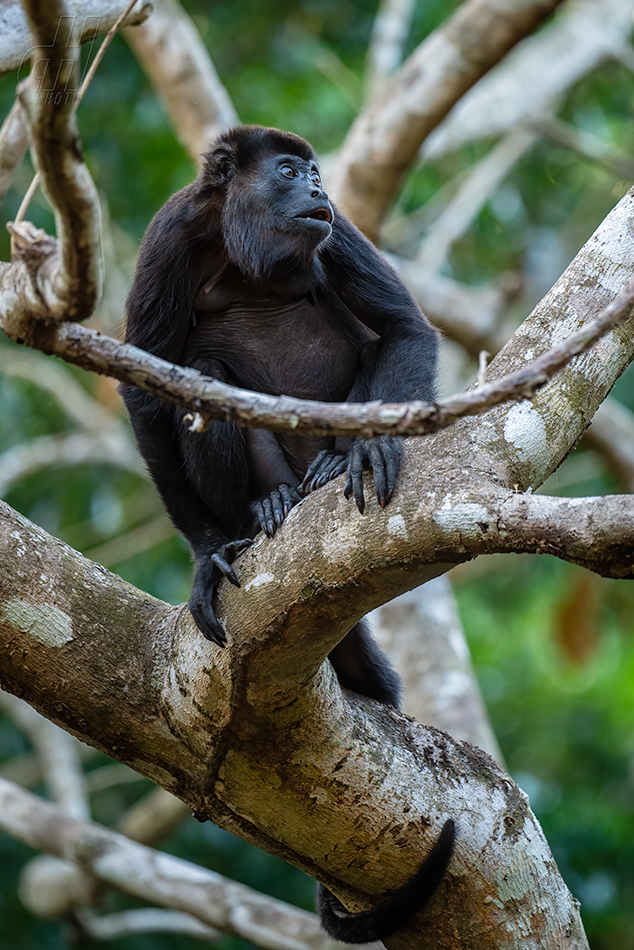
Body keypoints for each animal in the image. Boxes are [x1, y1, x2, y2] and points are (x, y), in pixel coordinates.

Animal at [121, 124, 452, 944]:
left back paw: (335, 460)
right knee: (203, 375)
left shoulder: (337, 234)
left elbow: (403, 326)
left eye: (314, 172)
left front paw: (373, 447)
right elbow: (149, 390)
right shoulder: (171, 237)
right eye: (286, 171)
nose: (319, 189)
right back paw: (265, 508)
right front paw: (206, 555)